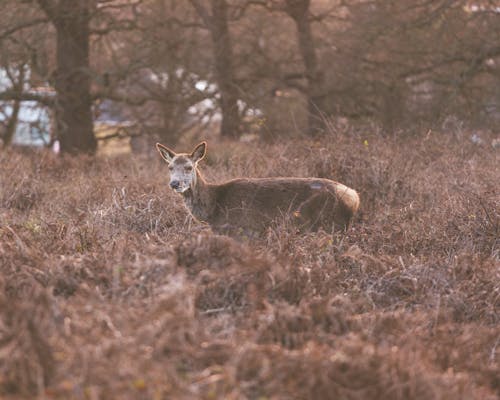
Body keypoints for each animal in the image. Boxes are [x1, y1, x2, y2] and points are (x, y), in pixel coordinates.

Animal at [156, 141, 360, 236]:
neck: (214, 208)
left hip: (330, 224)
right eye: (170, 167)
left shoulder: (241, 229)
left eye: (189, 167)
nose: (174, 184)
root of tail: (355, 198)